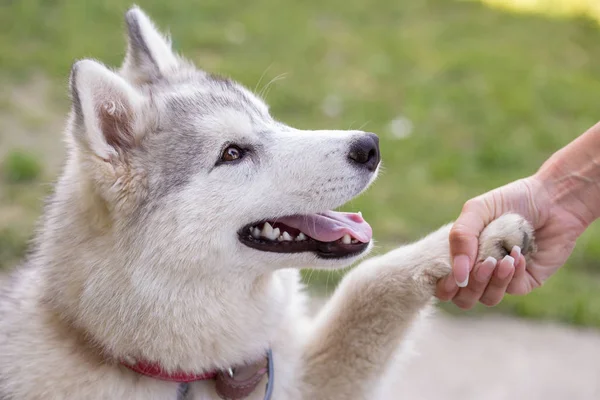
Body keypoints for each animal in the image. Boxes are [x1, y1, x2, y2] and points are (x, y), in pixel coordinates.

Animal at [0, 7, 536, 400]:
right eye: (232, 154)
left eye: (271, 119)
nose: (370, 146)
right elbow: (364, 280)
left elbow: (369, 279)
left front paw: (475, 238)